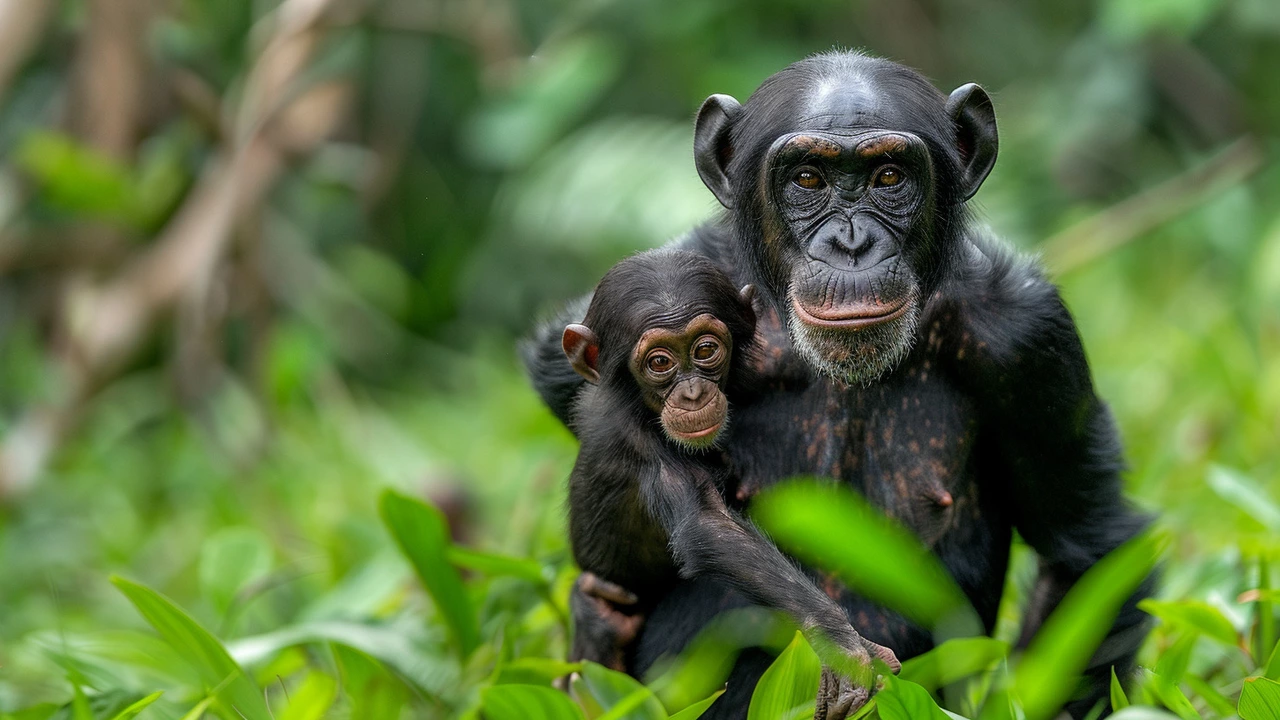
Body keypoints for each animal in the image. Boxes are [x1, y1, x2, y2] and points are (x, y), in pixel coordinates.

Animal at [560, 248, 901, 712]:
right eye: (659, 362)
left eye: (705, 349)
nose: (692, 394)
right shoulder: (635, 441)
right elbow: (708, 528)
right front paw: (841, 642)